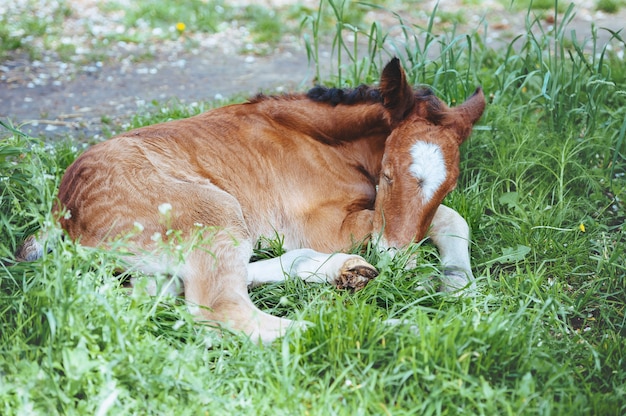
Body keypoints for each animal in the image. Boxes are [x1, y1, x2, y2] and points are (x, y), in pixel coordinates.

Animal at [17, 59, 486, 344]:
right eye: (388, 173)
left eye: (447, 184)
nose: (398, 259)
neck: (324, 142)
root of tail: (62, 212)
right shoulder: (325, 226)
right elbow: (442, 220)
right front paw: (443, 287)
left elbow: (451, 216)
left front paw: (456, 283)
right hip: (214, 212)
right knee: (221, 307)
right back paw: (394, 329)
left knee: (169, 292)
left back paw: (344, 272)